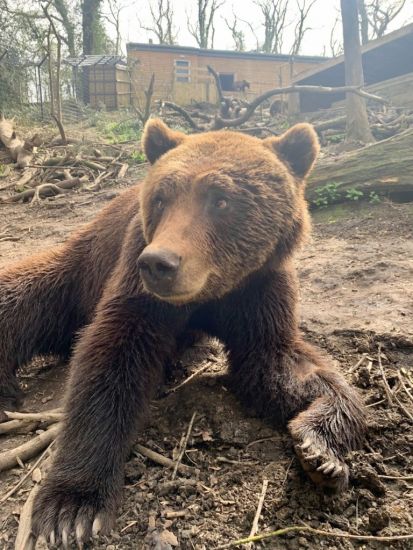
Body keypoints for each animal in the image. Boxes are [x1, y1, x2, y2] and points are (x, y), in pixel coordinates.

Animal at [0, 118, 366, 544]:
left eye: (220, 199)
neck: (213, 291)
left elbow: (278, 366)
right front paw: (71, 509)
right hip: (77, 272)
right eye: (161, 198)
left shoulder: (258, 288)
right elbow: (109, 360)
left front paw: (319, 451)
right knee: (21, 299)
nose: (159, 263)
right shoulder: (137, 281)